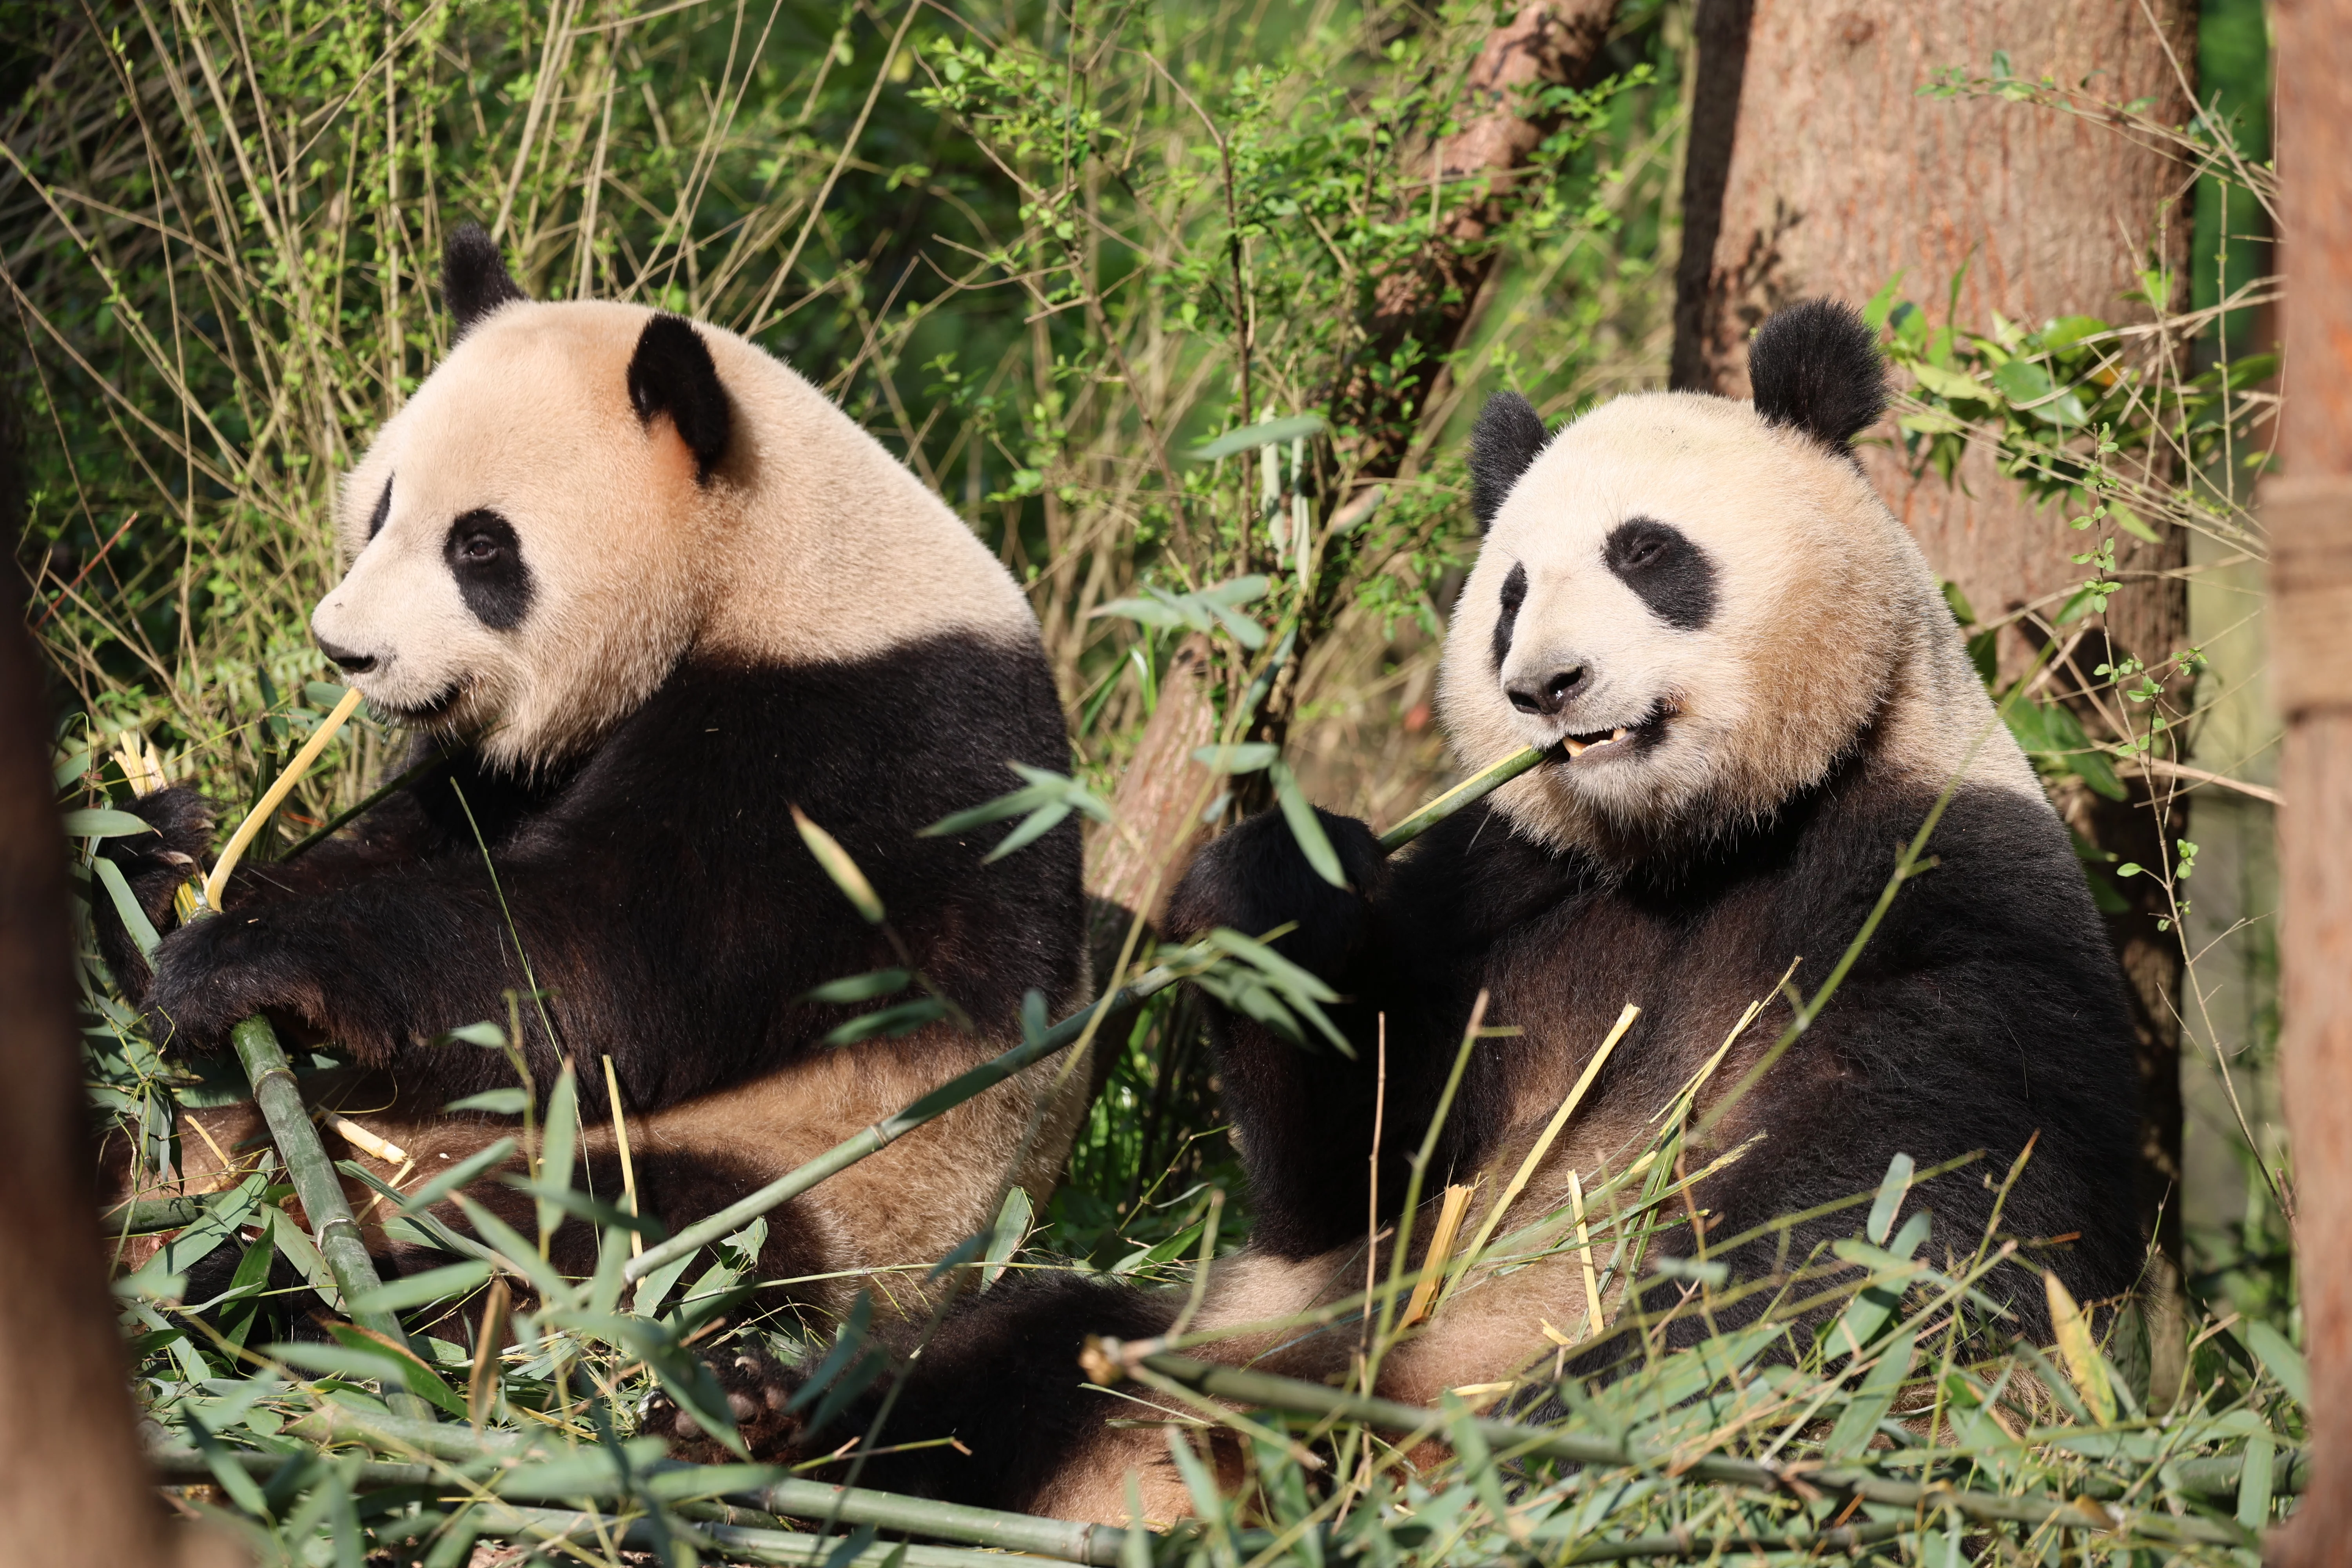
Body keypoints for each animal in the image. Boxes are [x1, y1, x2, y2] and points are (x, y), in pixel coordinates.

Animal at [95, 226, 1091, 1315]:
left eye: (481, 545)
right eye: (384, 506)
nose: (345, 648)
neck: (772, 565)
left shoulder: (860, 756)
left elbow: (599, 973)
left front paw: (244, 957)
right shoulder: (505, 770)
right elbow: (407, 847)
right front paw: (157, 857)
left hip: (838, 1188)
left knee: (617, 1234)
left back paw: (283, 1284)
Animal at [689, 299, 2146, 1520]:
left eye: (1648, 553)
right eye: (1507, 590)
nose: (1545, 685)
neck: (1688, 847)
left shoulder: (1942, 883)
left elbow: (1889, 1224)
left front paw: (1595, 1408)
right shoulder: (1499, 885)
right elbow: (1362, 1177)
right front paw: (1276, 891)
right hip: (1223, 1328)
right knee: (1024, 1351)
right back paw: (778, 1416)